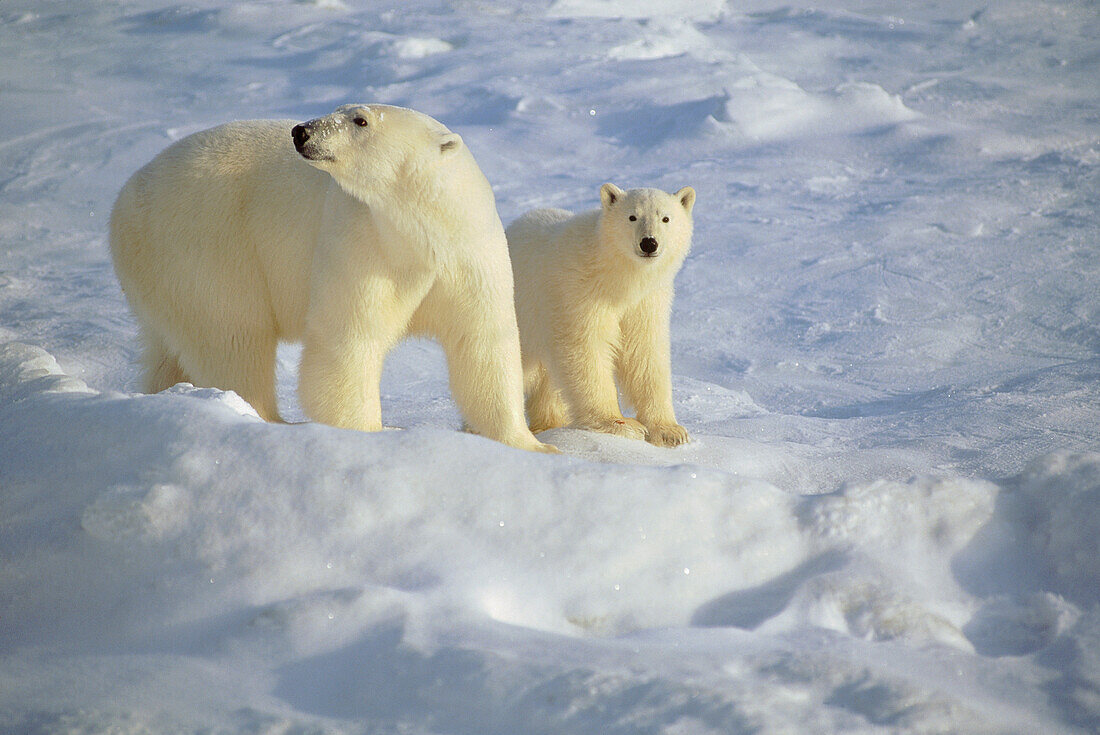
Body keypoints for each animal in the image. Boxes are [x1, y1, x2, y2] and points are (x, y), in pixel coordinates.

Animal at [110, 101, 554, 451]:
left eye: (360, 119)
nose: (301, 131)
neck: (419, 235)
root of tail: (124, 200)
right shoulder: (364, 244)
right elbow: (349, 340)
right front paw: (371, 432)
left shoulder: (468, 256)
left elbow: (483, 344)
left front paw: (534, 446)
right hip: (206, 243)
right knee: (232, 335)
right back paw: (268, 419)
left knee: (176, 346)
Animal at [503, 183, 690, 448]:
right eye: (632, 216)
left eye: (665, 218)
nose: (649, 243)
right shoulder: (579, 292)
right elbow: (587, 350)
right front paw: (621, 425)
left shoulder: (646, 302)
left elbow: (644, 353)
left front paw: (671, 431)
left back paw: (550, 424)